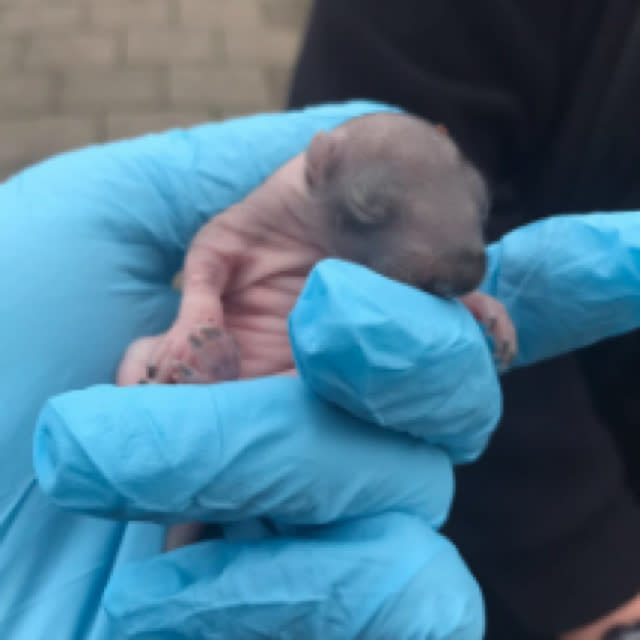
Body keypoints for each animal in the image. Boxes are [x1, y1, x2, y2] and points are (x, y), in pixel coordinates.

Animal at [116, 111, 516, 552]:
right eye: (366, 205)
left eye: (483, 199)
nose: (466, 273)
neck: (318, 241)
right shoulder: (257, 214)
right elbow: (209, 253)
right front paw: (188, 328)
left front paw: (491, 310)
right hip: (139, 355)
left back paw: (214, 369)